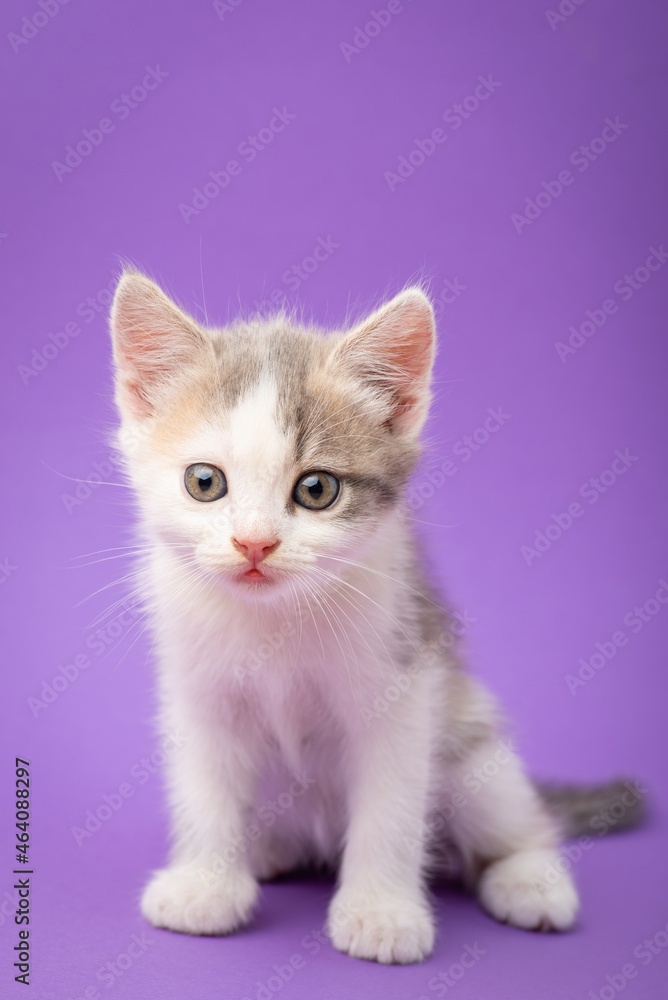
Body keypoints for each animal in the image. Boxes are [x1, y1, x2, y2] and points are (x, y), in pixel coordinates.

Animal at [109, 272, 640, 960]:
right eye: (205, 482)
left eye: (316, 489)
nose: (254, 544)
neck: (275, 620)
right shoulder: (198, 693)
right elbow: (205, 789)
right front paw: (205, 887)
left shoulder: (406, 682)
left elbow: (390, 808)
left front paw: (381, 913)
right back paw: (268, 851)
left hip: (473, 745)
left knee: (518, 818)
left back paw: (530, 879)